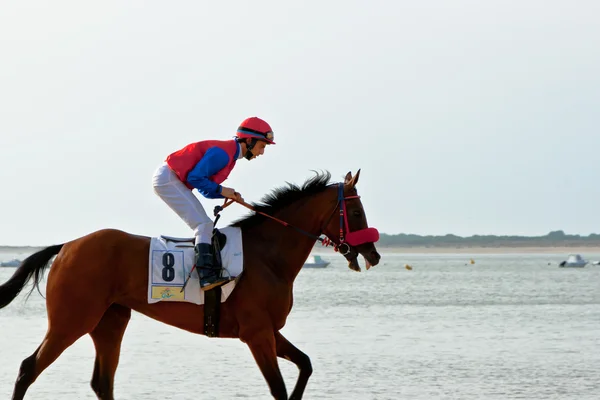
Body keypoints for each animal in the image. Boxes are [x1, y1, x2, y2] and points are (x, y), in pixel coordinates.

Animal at [0, 170, 382, 400]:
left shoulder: (269, 330)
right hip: (72, 320)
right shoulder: (256, 334)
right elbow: (278, 387)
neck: (268, 255)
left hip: (110, 321)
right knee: (28, 369)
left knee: (102, 381)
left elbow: (305, 364)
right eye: (357, 212)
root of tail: (66, 246)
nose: (374, 254)